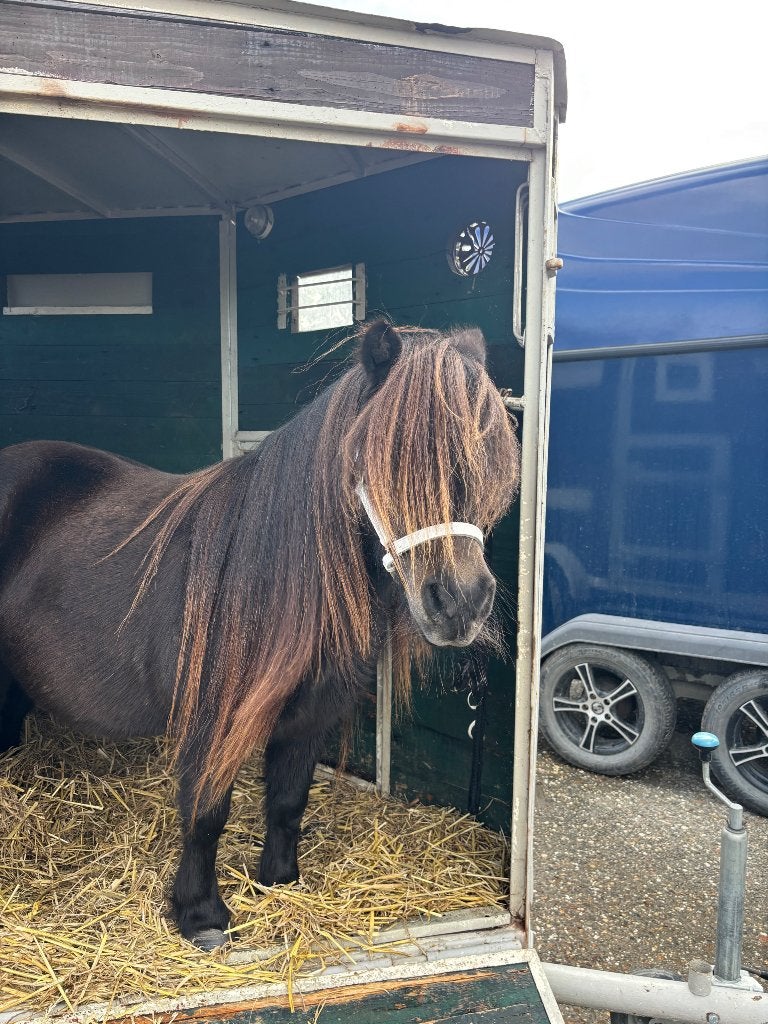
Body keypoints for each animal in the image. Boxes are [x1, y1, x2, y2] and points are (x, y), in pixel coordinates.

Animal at [0, 320, 520, 951]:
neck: (270, 581)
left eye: (487, 455)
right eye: (385, 458)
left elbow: (288, 800)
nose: (461, 602)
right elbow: (205, 814)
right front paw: (201, 916)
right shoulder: (209, 725)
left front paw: (279, 881)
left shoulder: (310, 715)